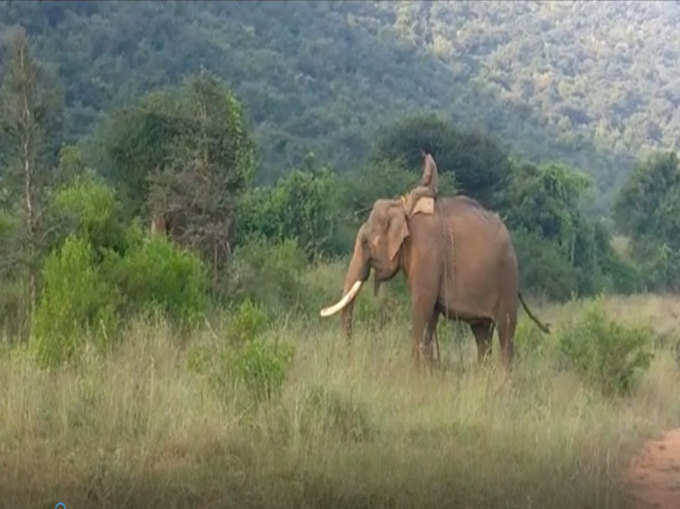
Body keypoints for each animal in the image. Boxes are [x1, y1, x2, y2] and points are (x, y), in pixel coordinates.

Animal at [322, 192, 548, 368]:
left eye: (365, 242)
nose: (349, 354)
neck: (402, 208)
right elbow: (430, 314)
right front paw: (428, 370)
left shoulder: (427, 253)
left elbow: (422, 305)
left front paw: (416, 373)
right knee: (482, 334)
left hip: (507, 279)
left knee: (505, 333)